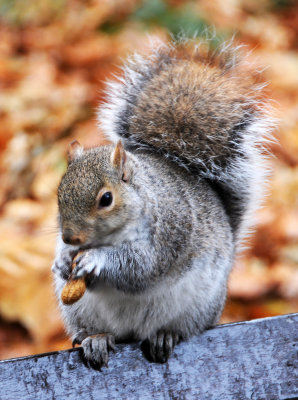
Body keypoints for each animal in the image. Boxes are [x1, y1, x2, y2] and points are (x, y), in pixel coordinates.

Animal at [51, 38, 272, 368]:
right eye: (59, 193)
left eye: (106, 199)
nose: (70, 238)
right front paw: (63, 261)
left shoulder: (168, 232)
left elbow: (140, 267)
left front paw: (95, 260)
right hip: (79, 312)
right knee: (97, 330)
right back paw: (96, 339)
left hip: (198, 304)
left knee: (181, 327)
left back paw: (165, 335)